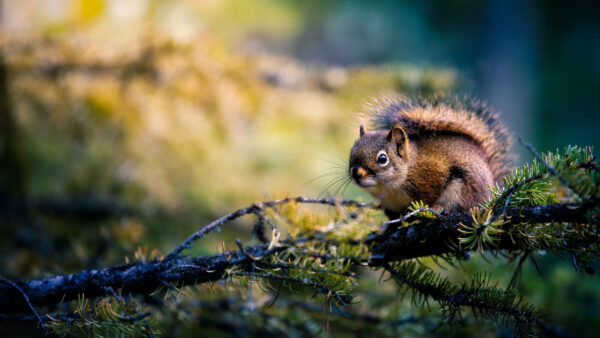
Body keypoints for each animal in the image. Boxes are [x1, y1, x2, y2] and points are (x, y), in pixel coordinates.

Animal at [350, 93, 512, 218]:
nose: (356, 173)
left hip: (465, 189)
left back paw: (440, 208)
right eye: (352, 151)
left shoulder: (432, 174)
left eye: (382, 159)